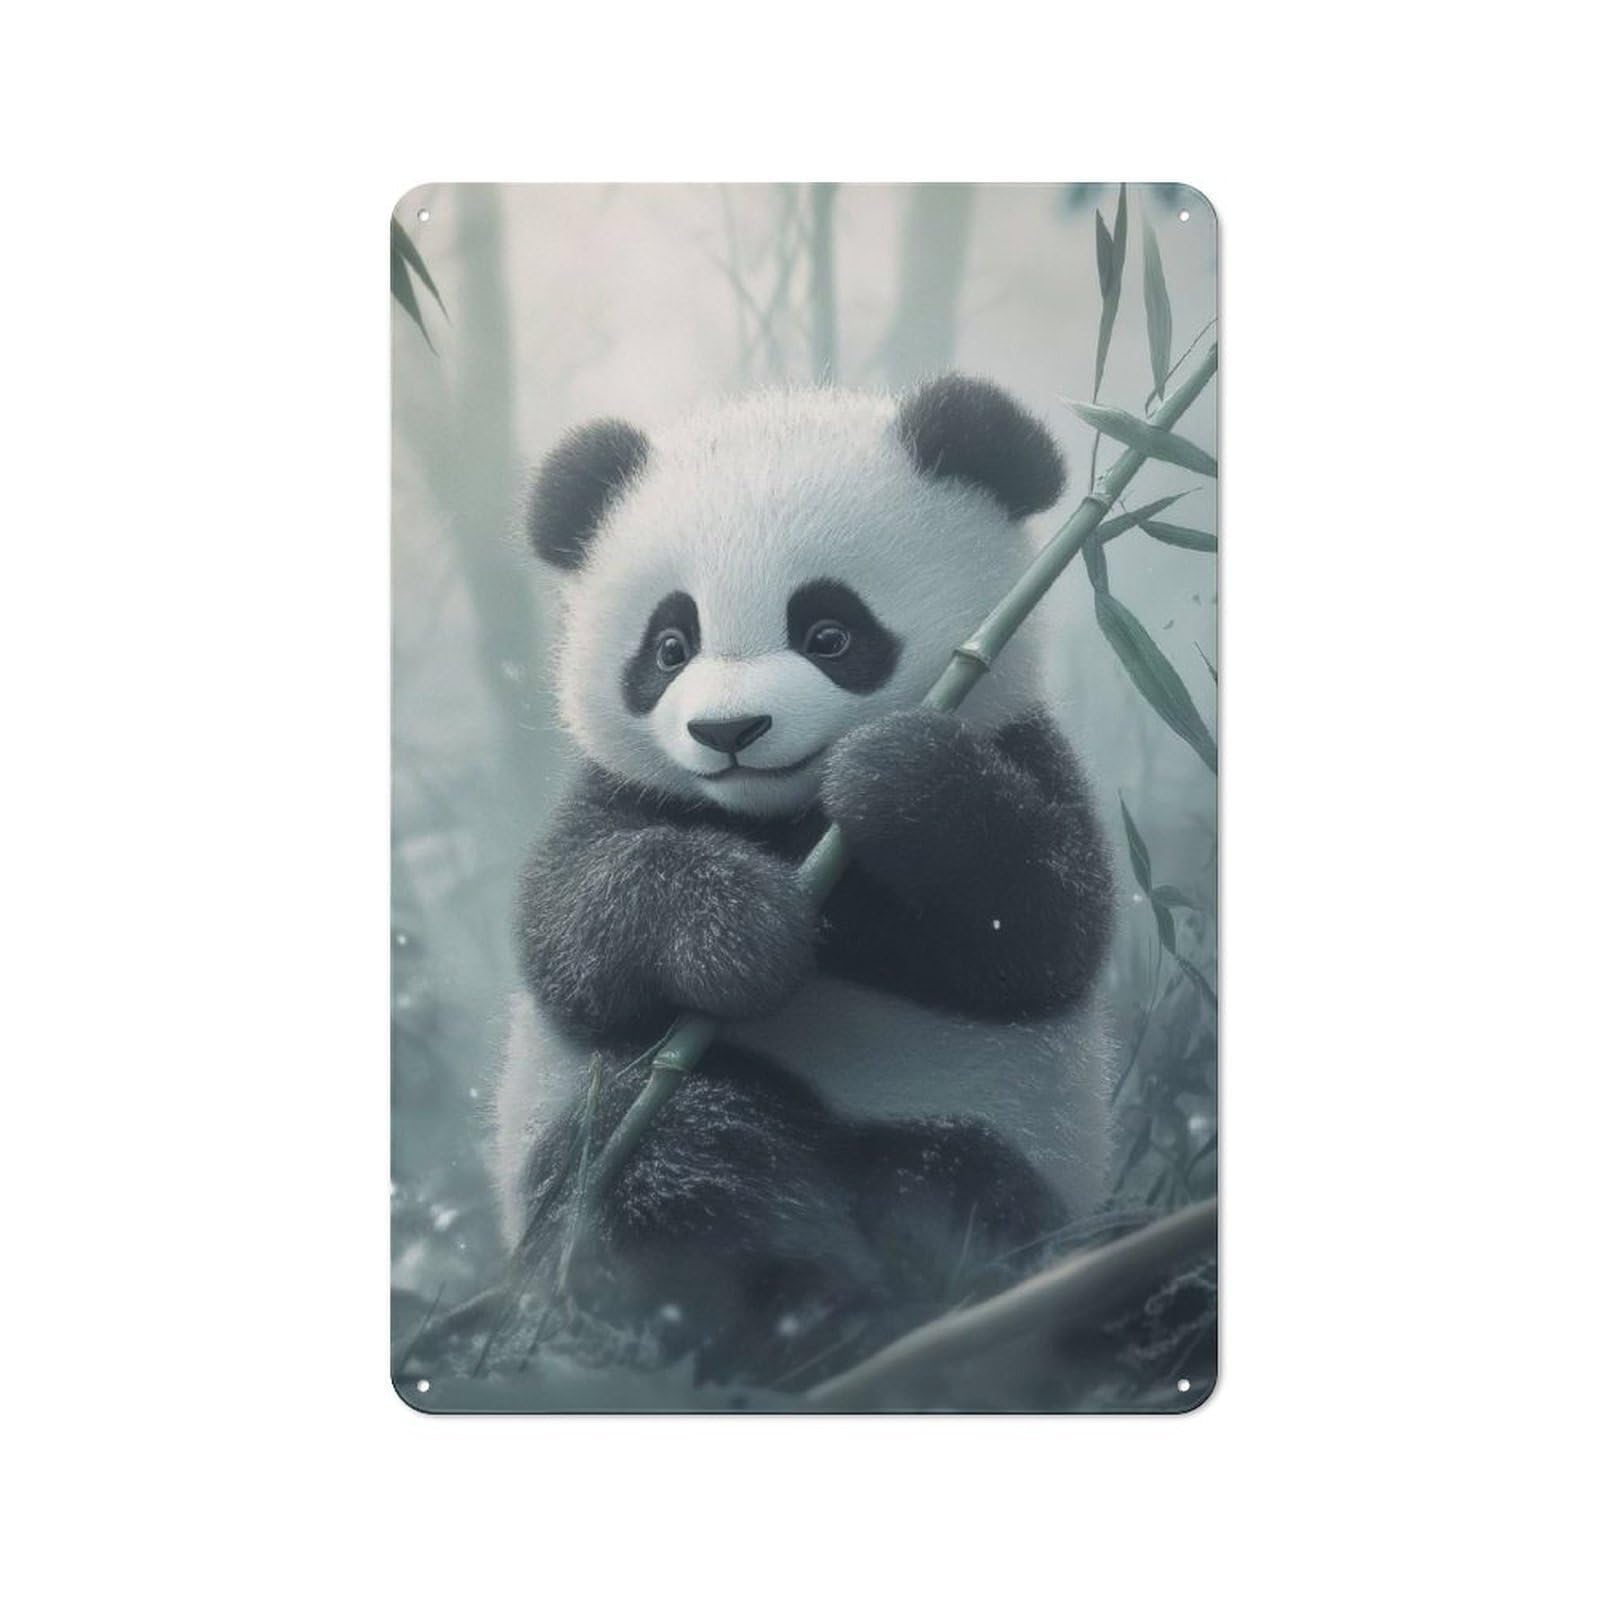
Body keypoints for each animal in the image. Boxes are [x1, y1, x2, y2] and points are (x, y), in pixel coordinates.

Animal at [493, 375, 1116, 1385]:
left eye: (830, 632)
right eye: (669, 646)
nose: (729, 732)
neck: (778, 816)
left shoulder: (1023, 745)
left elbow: (1046, 927)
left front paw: (893, 777)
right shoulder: (615, 796)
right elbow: (574, 933)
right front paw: (739, 929)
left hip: (992, 1125)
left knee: (961, 1185)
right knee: (666, 1159)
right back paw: (790, 1299)